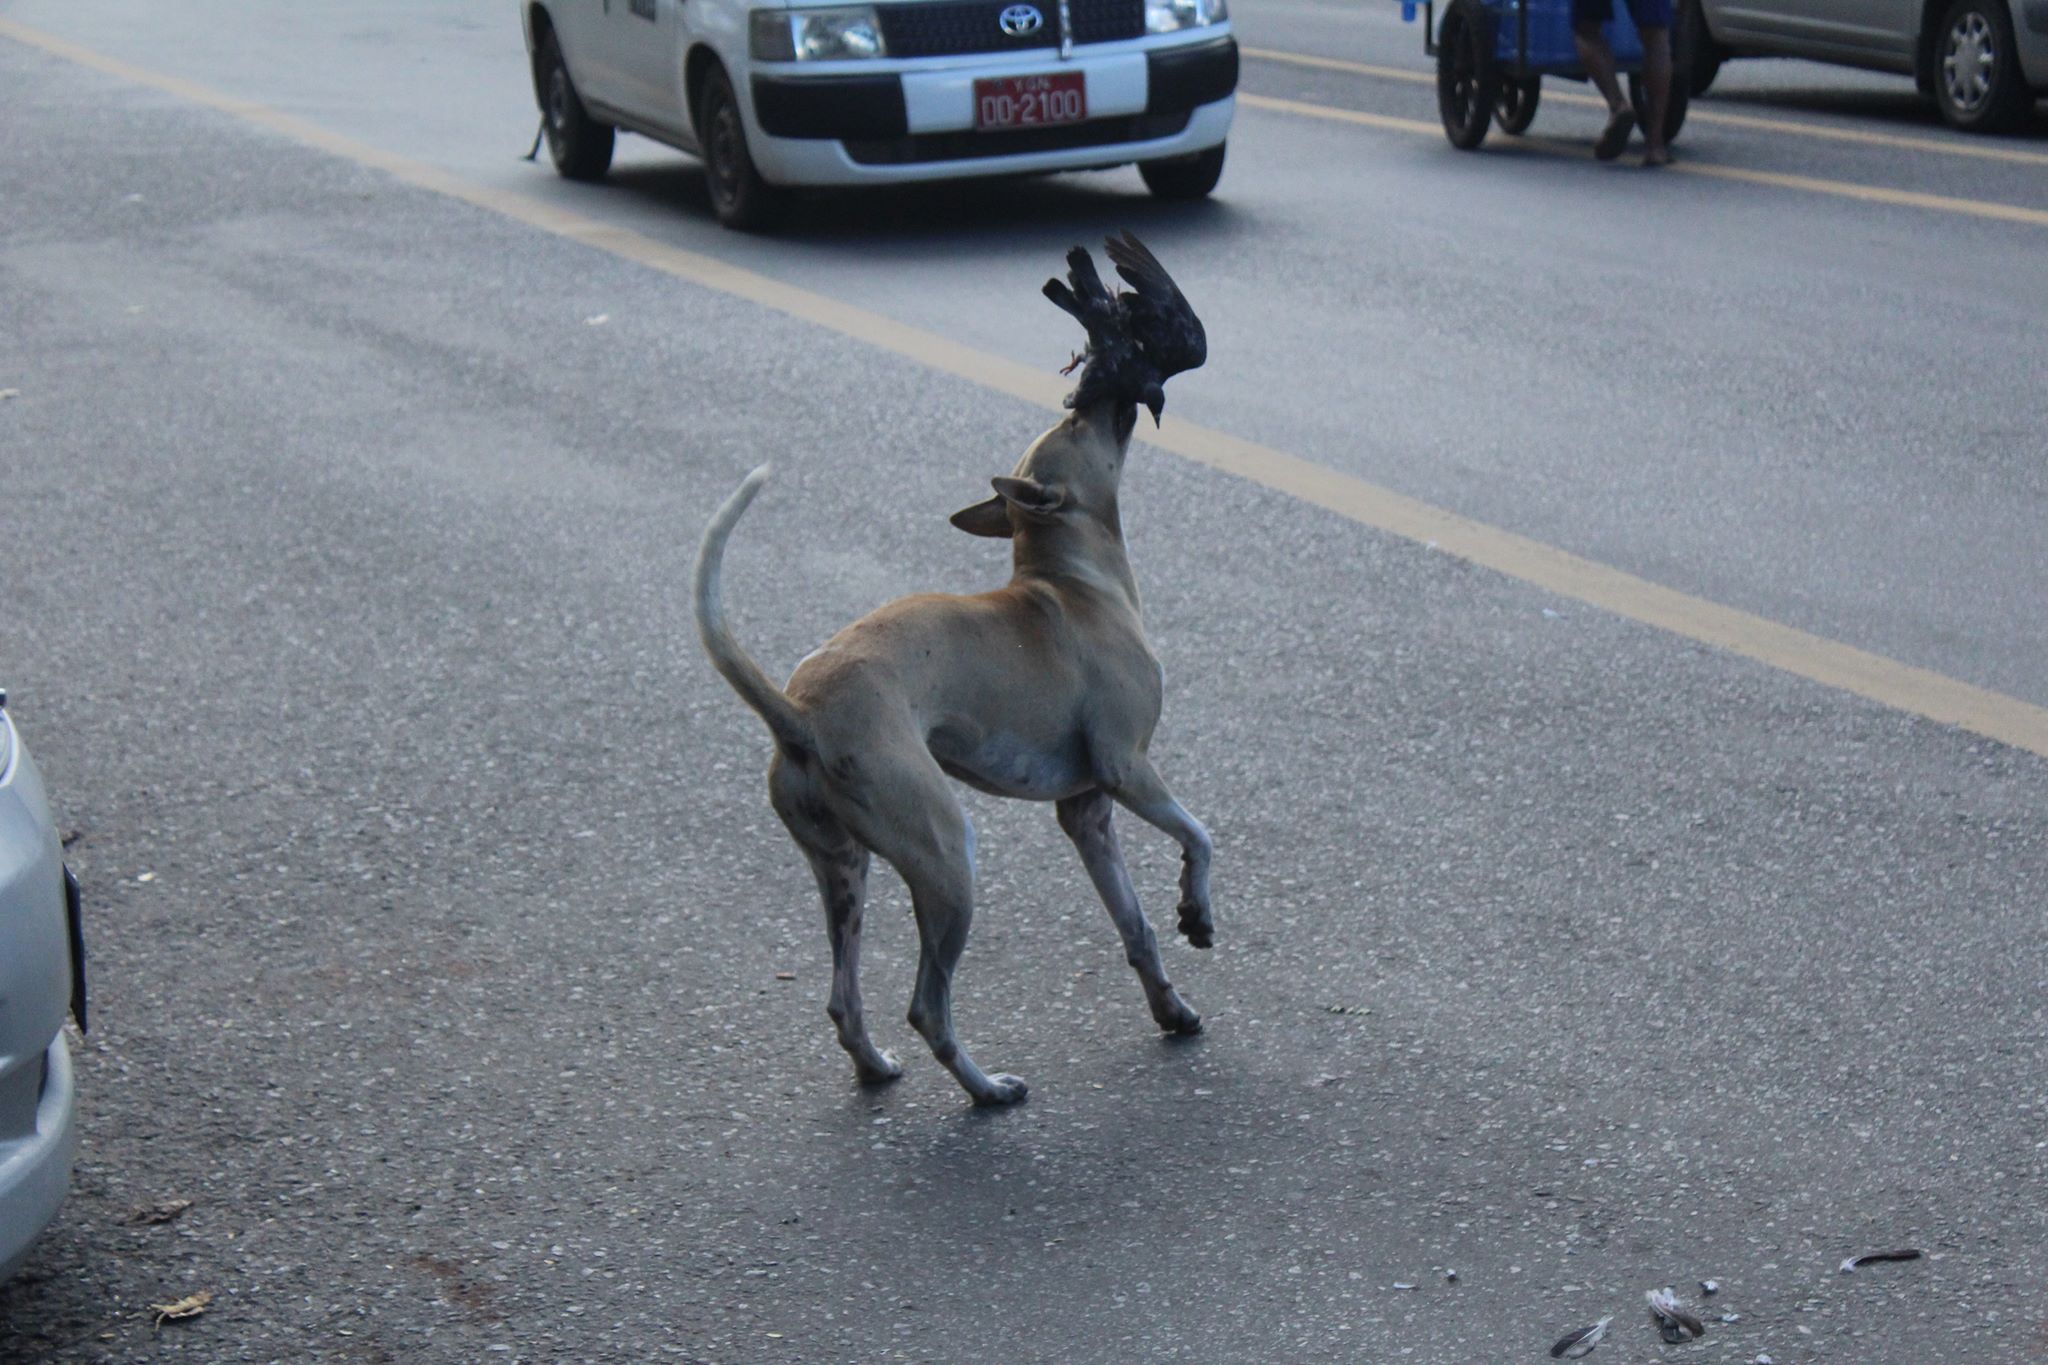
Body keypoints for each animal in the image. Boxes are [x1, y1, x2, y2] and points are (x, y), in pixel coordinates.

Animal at [693, 235, 1215, 1106]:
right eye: (1074, 422)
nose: (1095, 391)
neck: (1073, 579)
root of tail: (798, 713)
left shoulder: (1088, 813)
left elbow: (1136, 927)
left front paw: (1171, 1006)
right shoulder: (1128, 769)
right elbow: (1201, 836)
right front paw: (1198, 912)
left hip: (846, 870)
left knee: (844, 999)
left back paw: (875, 1066)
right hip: (945, 855)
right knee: (926, 1005)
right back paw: (988, 1089)